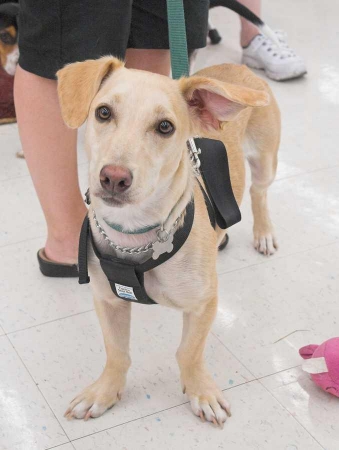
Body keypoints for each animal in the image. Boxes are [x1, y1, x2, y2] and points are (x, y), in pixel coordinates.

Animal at [57, 58, 282, 428]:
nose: (114, 177)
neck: (133, 235)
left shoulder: (203, 303)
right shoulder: (108, 300)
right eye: (103, 112)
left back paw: (263, 232)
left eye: (165, 126)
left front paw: (201, 391)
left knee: (259, 192)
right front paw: (104, 391)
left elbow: (188, 352)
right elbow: (116, 352)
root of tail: (234, 65)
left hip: (265, 159)